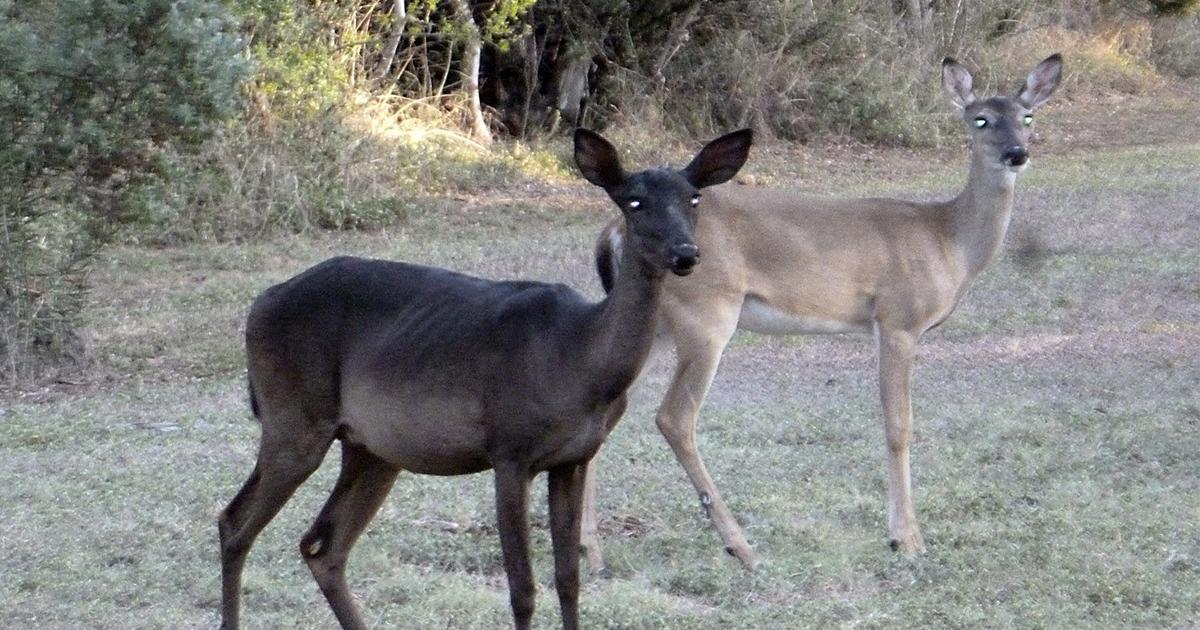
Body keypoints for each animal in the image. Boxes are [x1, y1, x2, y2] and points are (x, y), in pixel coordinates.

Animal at [215, 127, 753, 630]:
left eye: (694, 197)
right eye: (634, 201)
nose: (686, 253)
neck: (581, 362)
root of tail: (258, 305)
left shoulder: (574, 458)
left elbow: (569, 579)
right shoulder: (509, 449)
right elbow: (523, 589)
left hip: (372, 448)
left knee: (322, 545)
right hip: (293, 416)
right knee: (235, 523)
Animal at [581, 54, 1063, 571]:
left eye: (1027, 117)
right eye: (981, 119)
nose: (1016, 154)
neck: (947, 239)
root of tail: (614, 230)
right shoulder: (898, 318)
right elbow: (899, 425)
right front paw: (906, 538)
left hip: (659, 327)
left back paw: (591, 551)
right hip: (706, 314)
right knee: (674, 417)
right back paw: (741, 546)